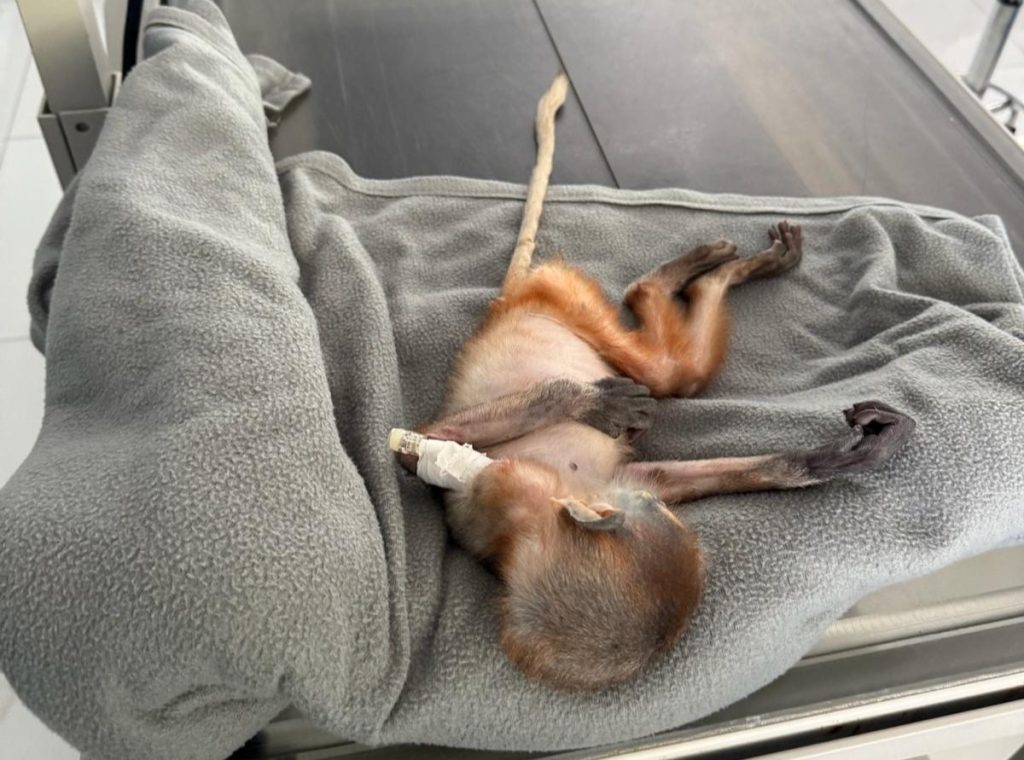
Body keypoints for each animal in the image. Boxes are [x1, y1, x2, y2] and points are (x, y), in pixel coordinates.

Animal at [393, 73, 916, 692]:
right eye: (654, 514)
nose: (638, 505)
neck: (540, 511)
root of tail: (509, 300)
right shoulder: (490, 495)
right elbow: (423, 444)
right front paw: (584, 402)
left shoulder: (576, 488)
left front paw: (833, 457)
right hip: (566, 296)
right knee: (657, 357)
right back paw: (679, 293)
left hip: (567, 303)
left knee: (667, 372)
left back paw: (714, 272)